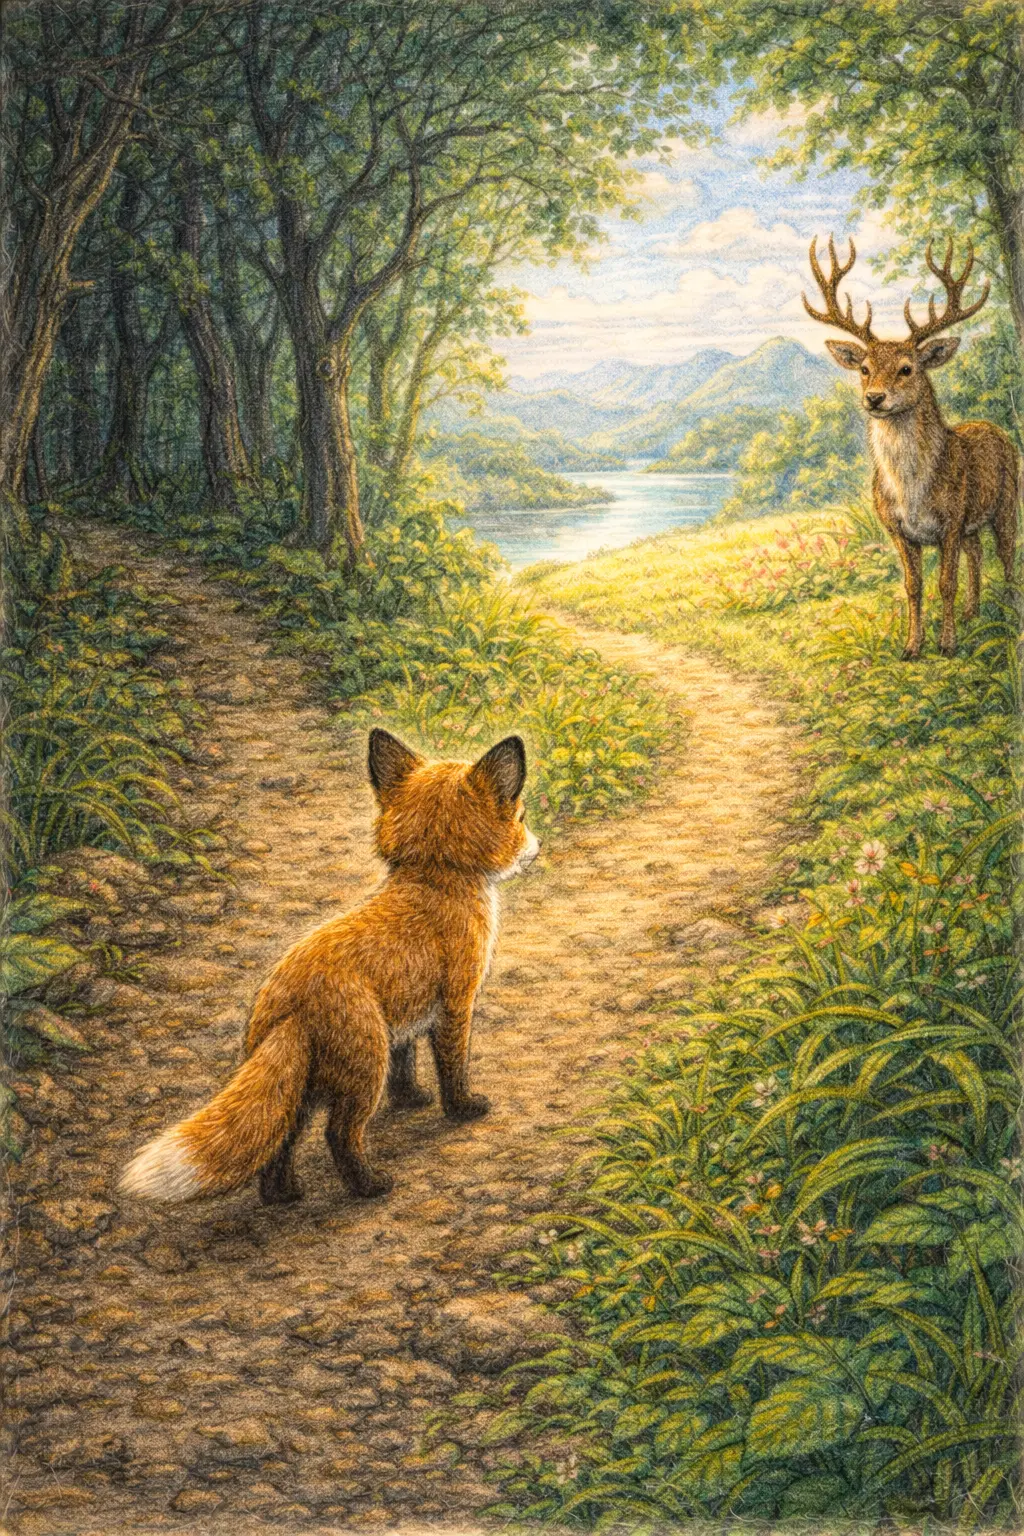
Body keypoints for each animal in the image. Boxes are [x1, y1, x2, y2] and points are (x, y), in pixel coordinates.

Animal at [120, 728, 540, 1205]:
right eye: (521, 816)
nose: (539, 847)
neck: (434, 879)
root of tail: (290, 1005)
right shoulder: (454, 1004)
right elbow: (452, 1068)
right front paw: (462, 1109)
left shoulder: (404, 1018)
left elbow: (405, 1065)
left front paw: (412, 1099)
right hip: (363, 1074)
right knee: (338, 1135)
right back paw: (369, 1186)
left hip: (299, 1089)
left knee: (280, 1139)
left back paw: (282, 1196)